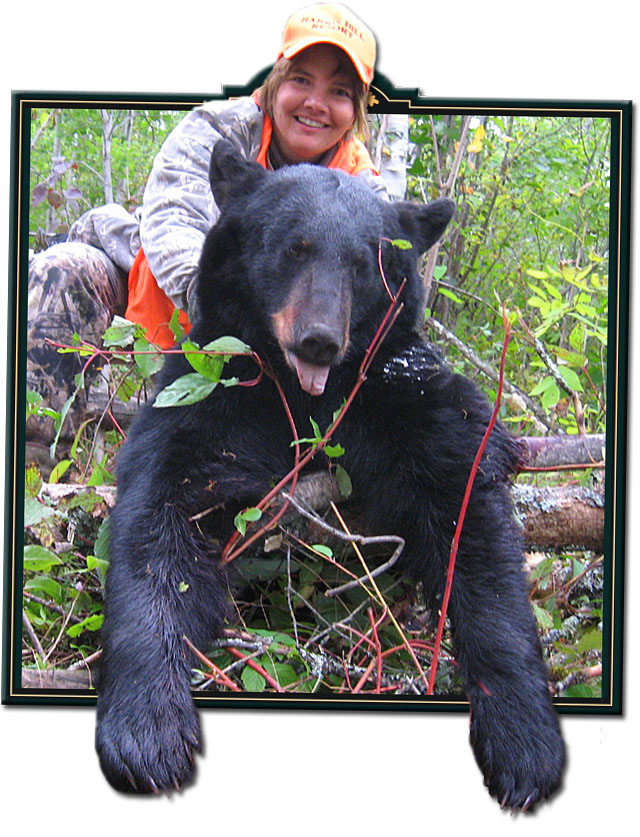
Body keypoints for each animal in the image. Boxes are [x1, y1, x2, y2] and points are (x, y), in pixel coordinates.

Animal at [95, 140, 565, 809]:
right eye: (293, 247)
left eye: (364, 263)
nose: (319, 339)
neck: (306, 393)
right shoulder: (218, 393)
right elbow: (161, 514)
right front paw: (145, 730)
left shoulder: (393, 395)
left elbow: (469, 514)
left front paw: (525, 741)